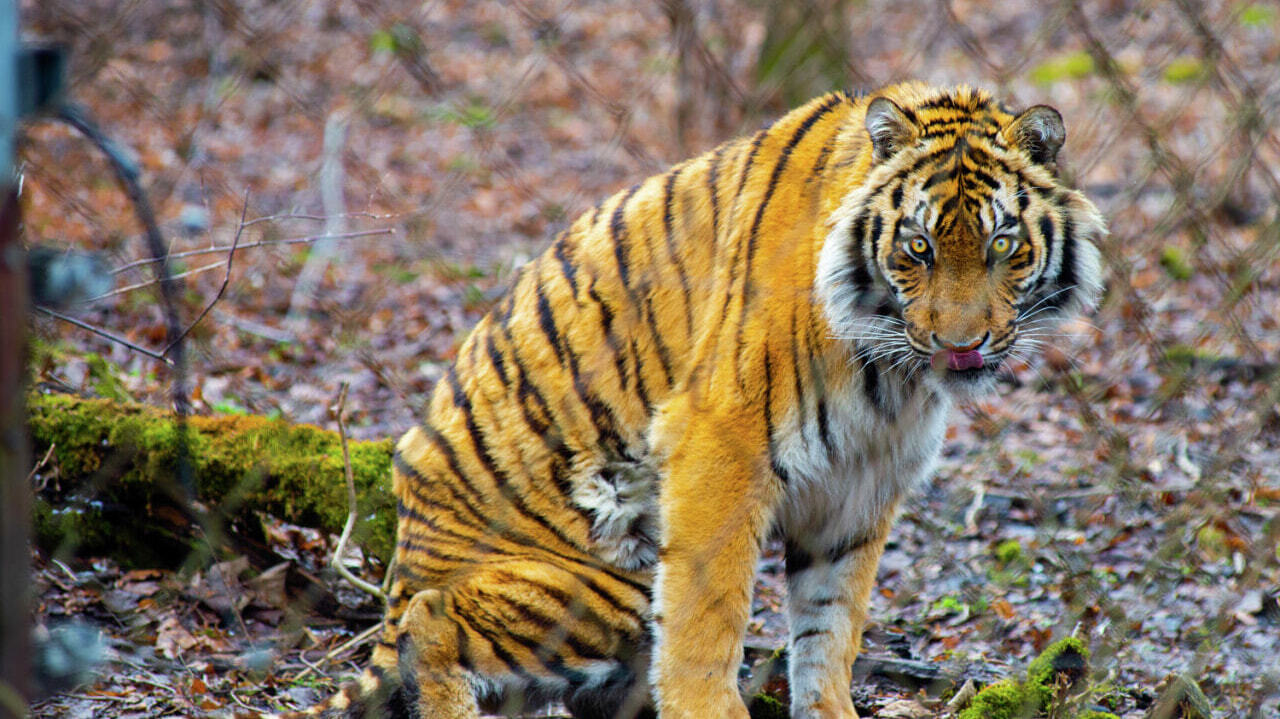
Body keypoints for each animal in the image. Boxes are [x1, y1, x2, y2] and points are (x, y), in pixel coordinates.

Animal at [267, 81, 1100, 716]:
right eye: (918, 248)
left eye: (1002, 245)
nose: (961, 343)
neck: (891, 372)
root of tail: (405, 560)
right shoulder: (721, 441)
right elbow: (710, 608)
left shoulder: (859, 485)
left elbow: (830, 627)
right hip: (603, 583)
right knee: (433, 620)